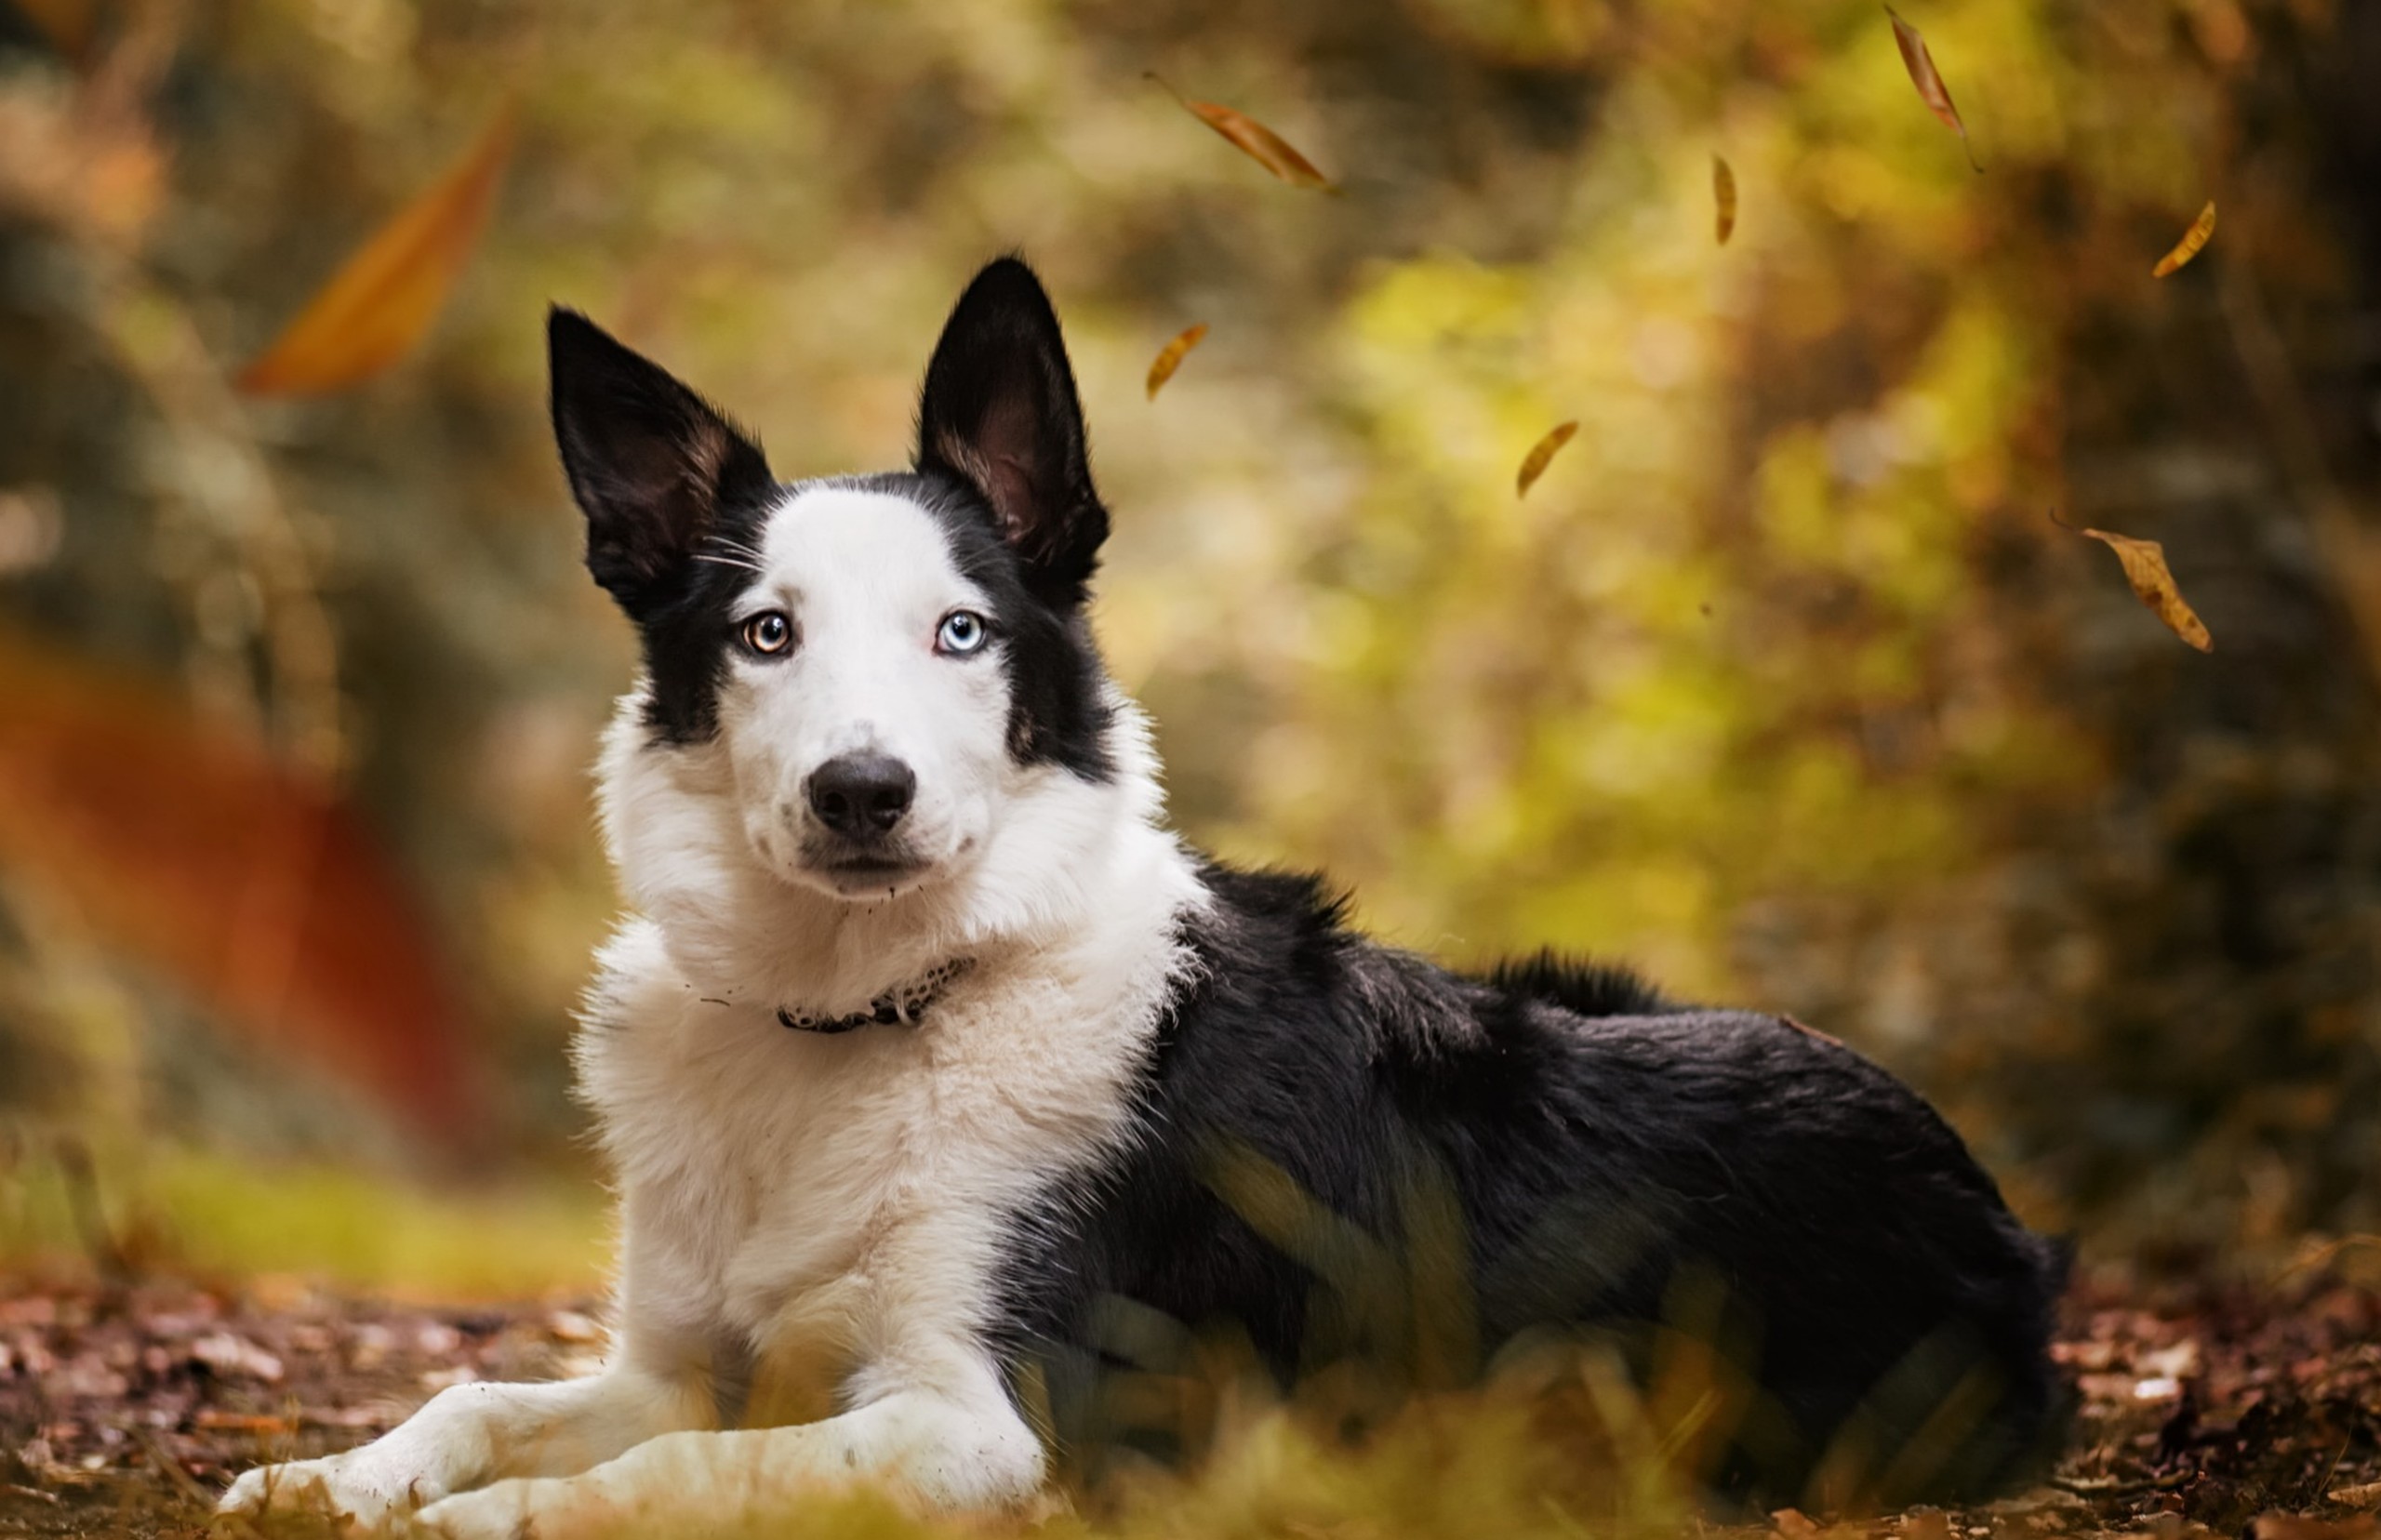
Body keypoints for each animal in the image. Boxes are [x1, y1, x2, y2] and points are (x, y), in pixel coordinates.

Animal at [219, 259, 2067, 1533]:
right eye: (766, 633)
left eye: (964, 631)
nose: (861, 793)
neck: (863, 1011)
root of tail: (2010, 1227)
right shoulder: (673, 1359)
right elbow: (486, 1393)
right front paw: (334, 1476)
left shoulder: (983, 1424)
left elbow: (663, 1475)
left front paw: (483, 1518)